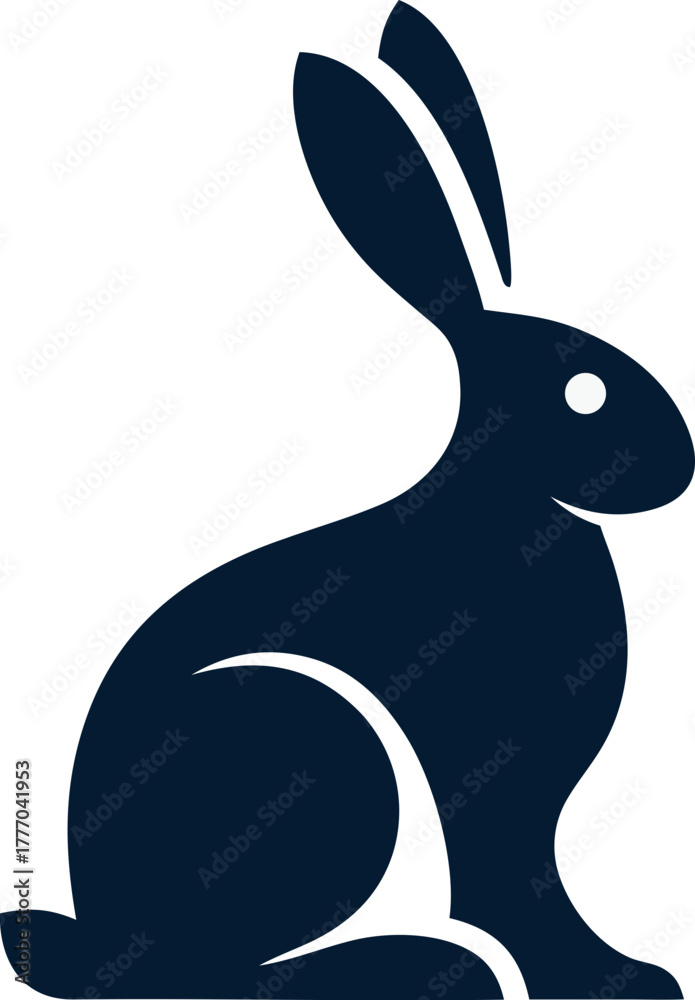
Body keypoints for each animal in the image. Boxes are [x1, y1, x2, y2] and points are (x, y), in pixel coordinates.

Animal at [3, 3, 693, 998]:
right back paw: (422, 968)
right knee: (213, 965)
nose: (682, 466)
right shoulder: (488, 777)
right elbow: (510, 881)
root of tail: (107, 939)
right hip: (321, 749)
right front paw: (606, 979)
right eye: (585, 392)